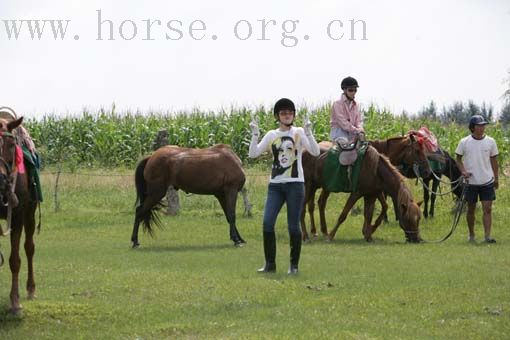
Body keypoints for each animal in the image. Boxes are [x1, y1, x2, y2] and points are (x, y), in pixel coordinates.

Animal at [300, 134, 432, 240]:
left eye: (418, 219)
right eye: (417, 151)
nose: (417, 239)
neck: (376, 168)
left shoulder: (372, 194)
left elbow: (371, 212)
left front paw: (368, 233)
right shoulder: (357, 194)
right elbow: (344, 214)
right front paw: (332, 236)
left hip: (320, 186)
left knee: (318, 204)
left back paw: (319, 231)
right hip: (309, 186)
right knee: (304, 208)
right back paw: (307, 235)